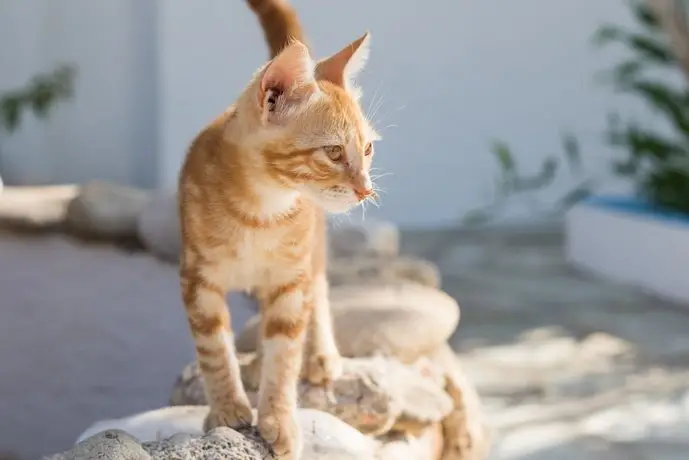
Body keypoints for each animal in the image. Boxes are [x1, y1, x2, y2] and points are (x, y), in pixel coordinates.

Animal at [175, 0, 378, 456]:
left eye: (369, 148)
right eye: (333, 151)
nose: (366, 189)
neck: (260, 212)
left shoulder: (290, 280)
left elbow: (285, 354)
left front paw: (279, 418)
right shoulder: (197, 278)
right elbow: (213, 348)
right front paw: (226, 407)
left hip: (310, 254)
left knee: (316, 288)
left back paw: (319, 354)